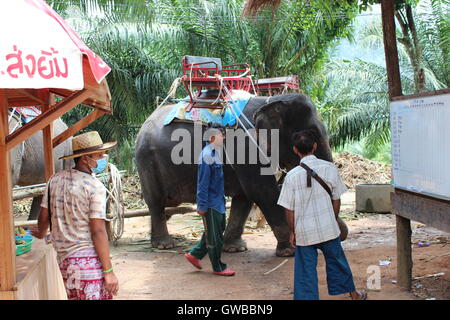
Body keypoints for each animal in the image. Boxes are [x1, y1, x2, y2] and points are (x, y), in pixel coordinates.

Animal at [135, 93, 332, 258]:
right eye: (308, 136)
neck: (271, 100)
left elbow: (244, 197)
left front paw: (235, 249)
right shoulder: (247, 148)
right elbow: (262, 192)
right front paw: (289, 252)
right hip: (147, 162)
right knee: (156, 202)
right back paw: (164, 245)